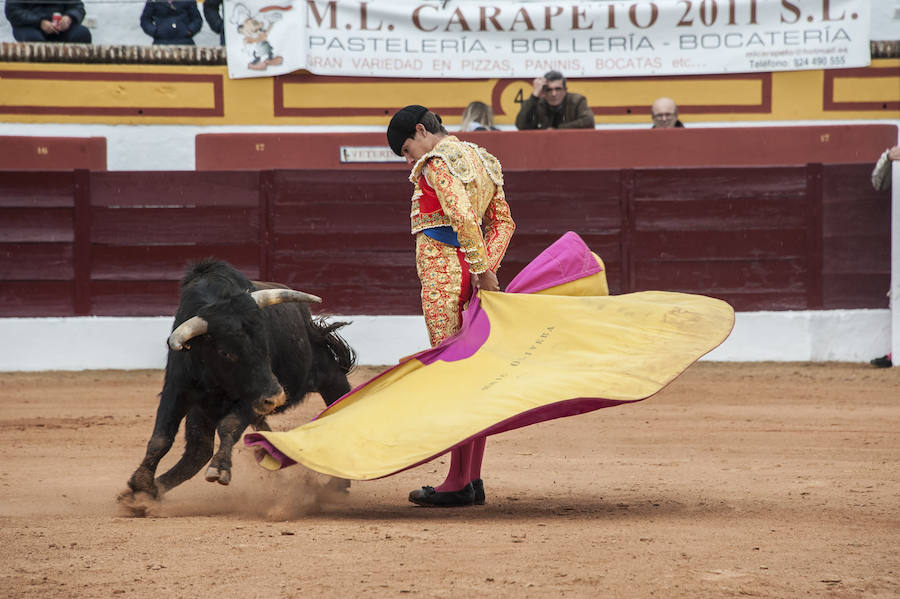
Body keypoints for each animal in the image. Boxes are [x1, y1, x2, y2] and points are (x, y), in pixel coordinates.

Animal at [121, 260, 354, 504]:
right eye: (225, 352)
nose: (275, 396)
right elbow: (160, 438)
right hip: (203, 409)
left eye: (265, 342)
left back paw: (336, 485)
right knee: (198, 451)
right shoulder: (177, 389)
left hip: (329, 375)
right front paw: (140, 485)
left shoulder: (251, 400)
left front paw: (220, 469)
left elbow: (229, 425)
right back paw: (151, 493)